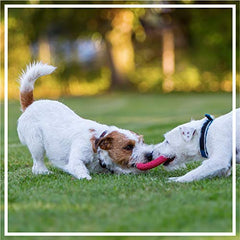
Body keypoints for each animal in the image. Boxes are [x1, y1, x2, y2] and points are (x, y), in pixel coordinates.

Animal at [16, 62, 153, 179]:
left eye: (143, 141)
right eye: (128, 147)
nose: (150, 155)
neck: (97, 144)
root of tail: (30, 104)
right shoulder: (76, 159)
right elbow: (80, 169)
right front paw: (86, 177)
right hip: (36, 144)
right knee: (37, 163)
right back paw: (44, 171)